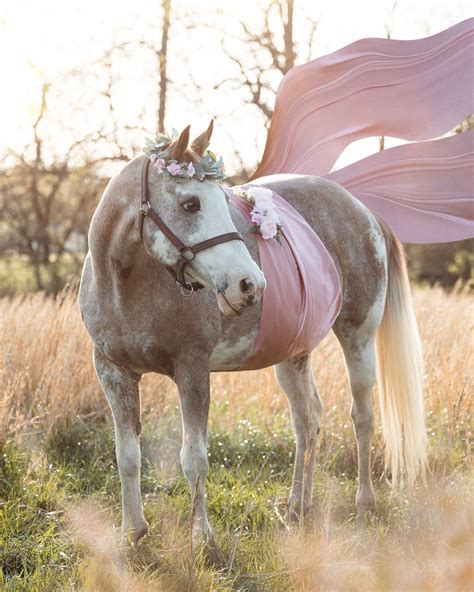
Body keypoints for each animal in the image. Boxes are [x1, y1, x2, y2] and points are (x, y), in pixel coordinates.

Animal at [78, 121, 426, 544]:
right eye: (191, 204)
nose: (251, 284)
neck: (124, 283)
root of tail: (363, 211)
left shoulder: (192, 370)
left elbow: (194, 458)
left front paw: (203, 538)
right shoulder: (113, 371)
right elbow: (128, 455)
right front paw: (133, 532)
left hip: (357, 338)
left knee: (362, 416)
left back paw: (364, 503)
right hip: (294, 356)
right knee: (308, 420)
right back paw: (298, 505)